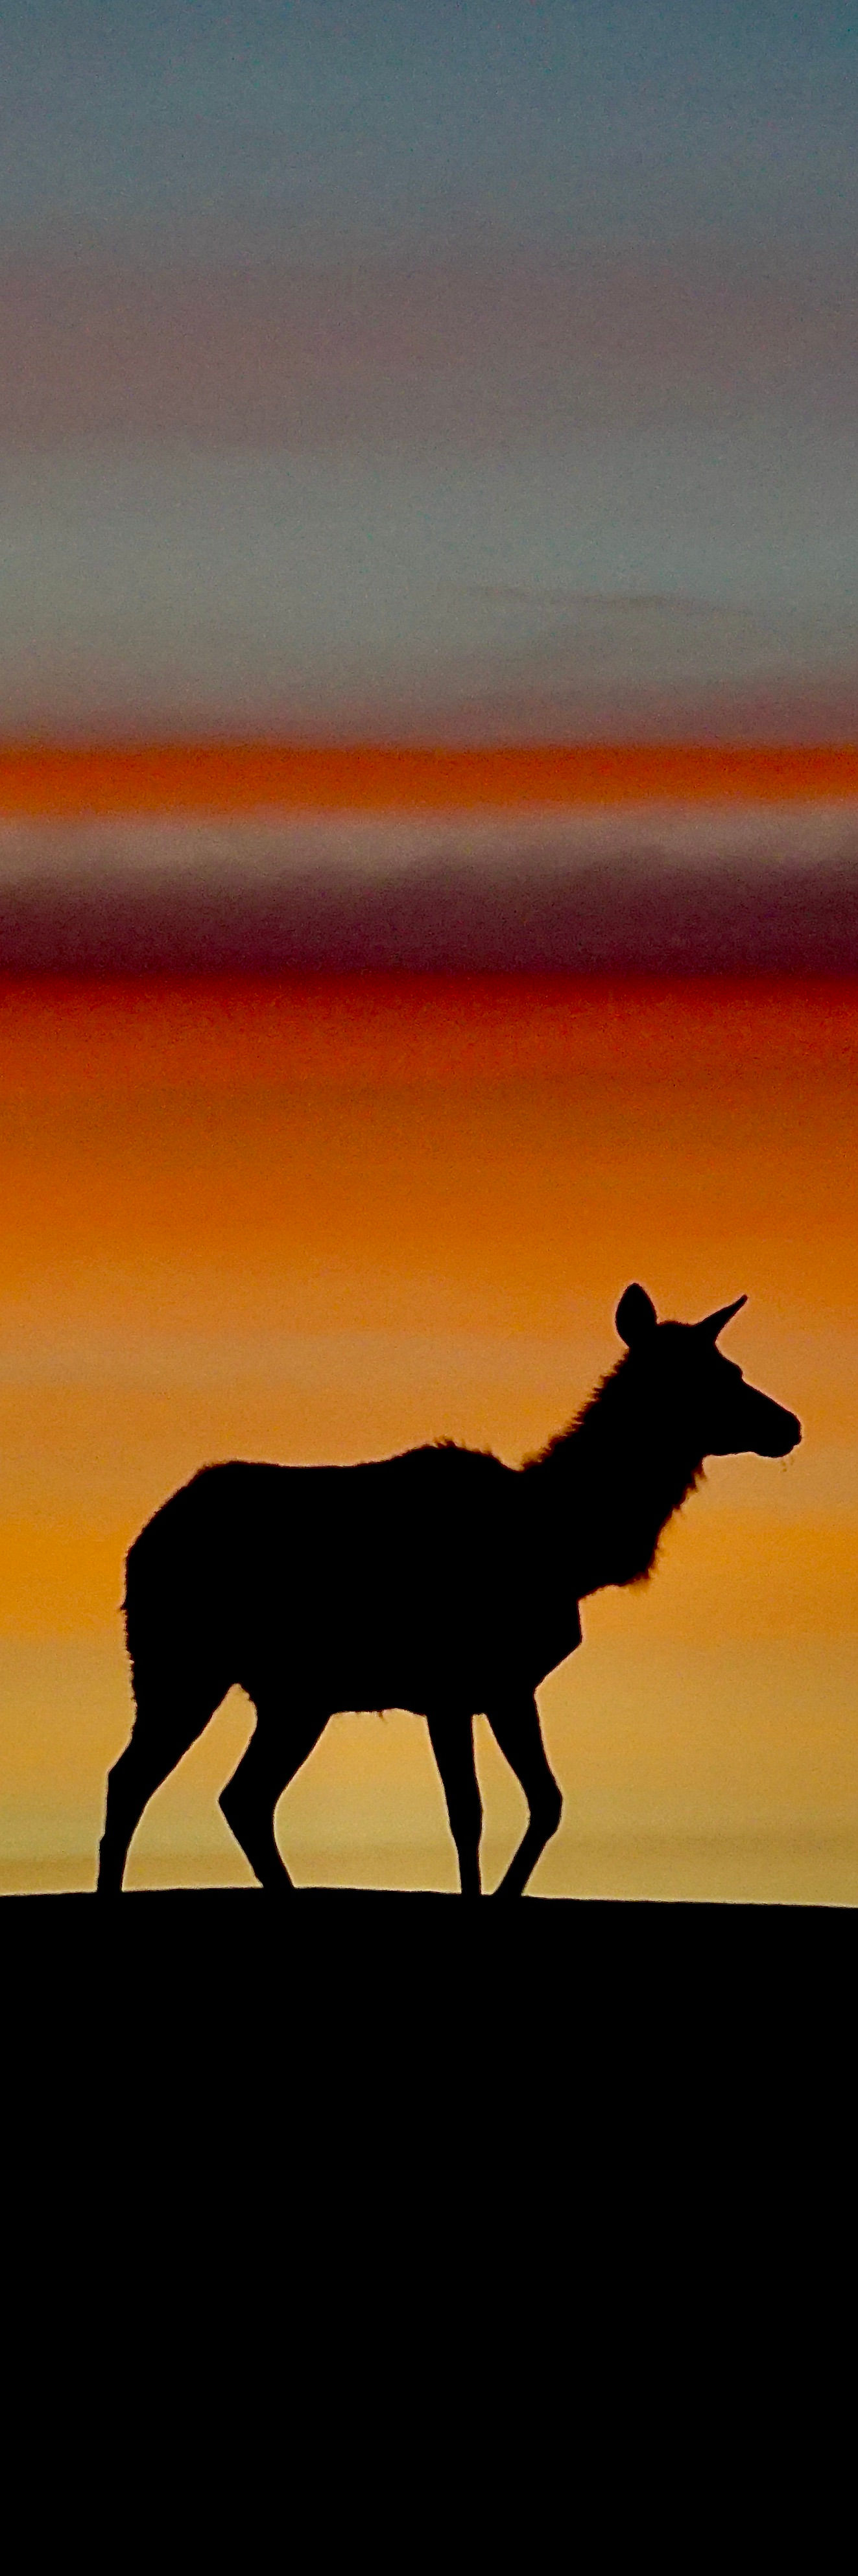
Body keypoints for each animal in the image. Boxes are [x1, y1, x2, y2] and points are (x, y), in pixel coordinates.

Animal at [97, 1284, 801, 1898]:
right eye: (718, 1375)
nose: (789, 1424)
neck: (567, 1548)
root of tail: (143, 1545)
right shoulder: (450, 1689)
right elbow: (470, 1812)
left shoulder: (507, 1685)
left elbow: (545, 1802)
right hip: (182, 1666)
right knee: (134, 1780)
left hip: (292, 1698)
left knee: (238, 1796)